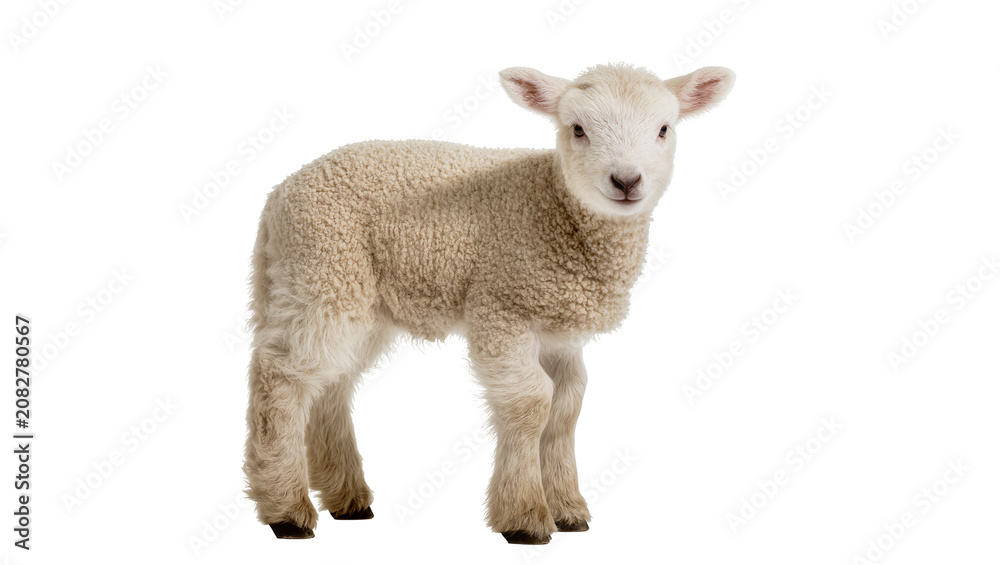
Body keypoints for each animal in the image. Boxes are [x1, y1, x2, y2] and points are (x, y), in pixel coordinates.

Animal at [243, 62, 735, 544]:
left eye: (664, 129)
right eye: (577, 129)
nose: (627, 180)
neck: (556, 209)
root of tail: (277, 197)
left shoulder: (559, 331)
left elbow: (567, 406)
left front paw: (568, 510)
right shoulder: (503, 307)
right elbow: (532, 402)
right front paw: (525, 516)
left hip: (358, 298)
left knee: (332, 383)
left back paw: (347, 498)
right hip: (322, 270)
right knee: (282, 376)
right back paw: (286, 510)